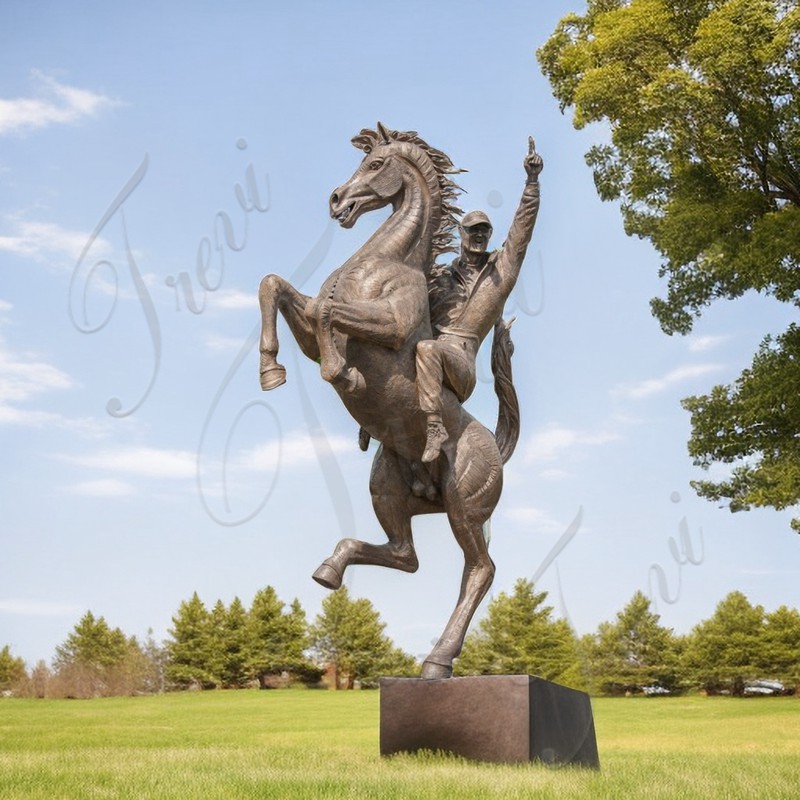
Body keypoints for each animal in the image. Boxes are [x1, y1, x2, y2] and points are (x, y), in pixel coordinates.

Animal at [260, 122, 516, 680]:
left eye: (376, 165)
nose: (337, 200)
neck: (382, 263)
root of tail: (497, 449)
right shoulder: (305, 323)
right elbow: (277, 287)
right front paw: (271, 372)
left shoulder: (393, 326)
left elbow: (332, 314)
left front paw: (346, 374)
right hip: (390, 491)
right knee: (405, 556)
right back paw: (328, 570)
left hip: (465, 506)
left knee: (480, 570)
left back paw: (437, 663)